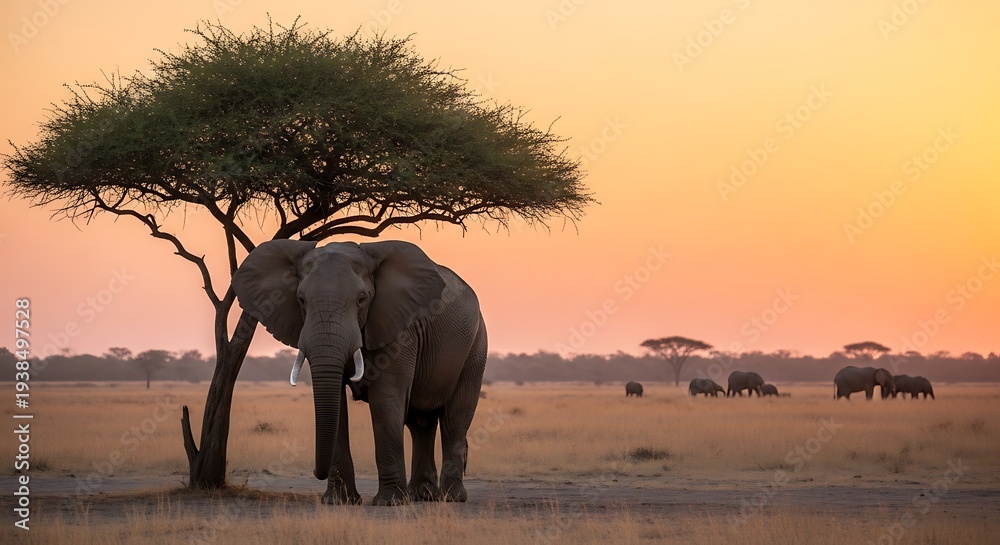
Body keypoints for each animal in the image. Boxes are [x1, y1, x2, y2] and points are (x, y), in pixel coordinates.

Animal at [232, 239, 487, 506]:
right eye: (301, 300)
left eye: (362, 299)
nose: (315, 471)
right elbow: (337, 405)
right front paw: (338, 501)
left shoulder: (400, 329)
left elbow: (385, 400)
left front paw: (389, 502)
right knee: (420, 424)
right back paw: (422, 495)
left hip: (476, 347)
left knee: (454, 419)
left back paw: (451, 497)